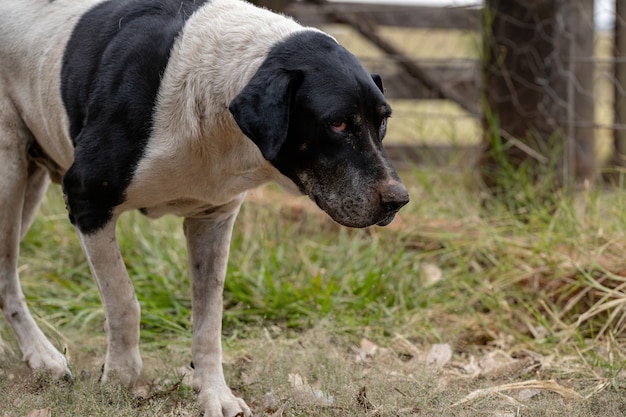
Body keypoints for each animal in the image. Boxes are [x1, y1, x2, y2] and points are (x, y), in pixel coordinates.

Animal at [0, 0, 408, 412]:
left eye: (383, 121)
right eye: (338, 124)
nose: (399, 200)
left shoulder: (213, 219)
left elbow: (209, 322)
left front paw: (216, 394)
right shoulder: (88, 200)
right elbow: (124, 301)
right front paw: (118, 378)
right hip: (9, 175)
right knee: (7, 276)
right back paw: (45, 357)